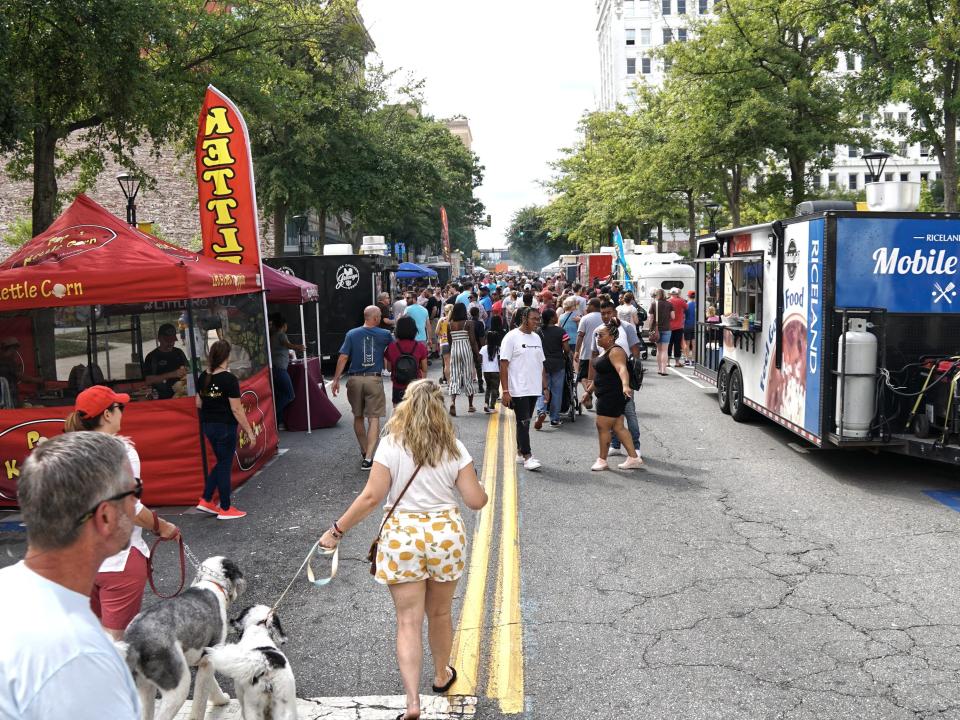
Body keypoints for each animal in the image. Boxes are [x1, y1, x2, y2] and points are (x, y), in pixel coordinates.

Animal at [119, 556, 246, 720]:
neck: (212, 583)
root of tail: (134, 642)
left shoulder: (201, 658)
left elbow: (211, 684)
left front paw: (221, 700)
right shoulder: (209, 659)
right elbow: (201, 697)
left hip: (144, 687)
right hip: (178, 685)